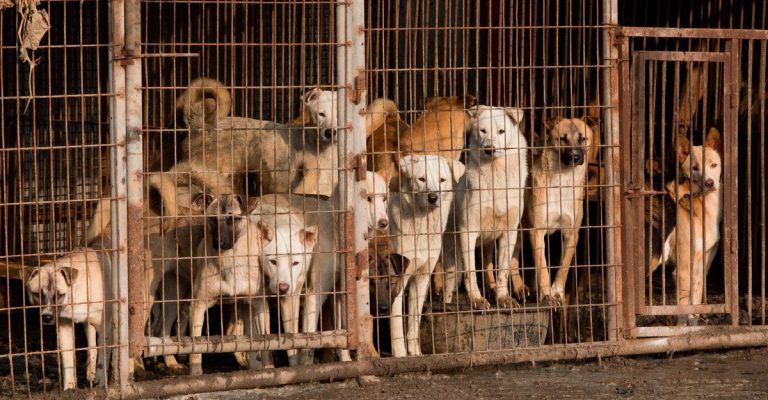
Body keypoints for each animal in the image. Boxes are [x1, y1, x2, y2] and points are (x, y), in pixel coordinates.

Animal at [25, 245, 112, 390]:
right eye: (37, 294)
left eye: (60, 295)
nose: (47, 317)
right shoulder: (64, 326)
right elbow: (68, 360)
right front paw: (69, 389)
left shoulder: (105, 326)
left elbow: (104, 355)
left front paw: (101, 381)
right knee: (92, 348)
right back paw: (90, 374)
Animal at [438, 106, 528, 310]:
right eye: (483, 131)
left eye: (501, 131)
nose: (489, 149)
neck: (496, 174)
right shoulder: (467, 231)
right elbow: (471, 272)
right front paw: (477, 300)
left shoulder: (509, 232)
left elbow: (502, 271)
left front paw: (503, 298)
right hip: (448, 252)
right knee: (447, 283)